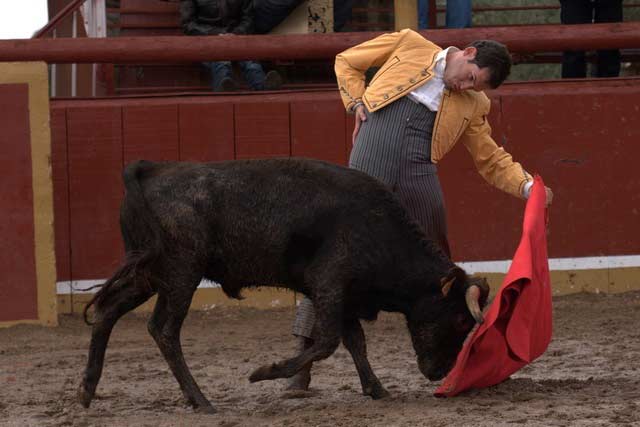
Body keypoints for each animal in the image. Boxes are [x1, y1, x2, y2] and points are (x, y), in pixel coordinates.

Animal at [80, 158, 490, 414]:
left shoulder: (341, 294)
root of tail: (151, 169)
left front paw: (377, 389)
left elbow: (355, 342)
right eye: (459, 320)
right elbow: (327, 342)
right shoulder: (330, 284)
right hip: (182, 272)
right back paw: (201, 400)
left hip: (150, 272)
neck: (378, 227)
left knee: (108, 311)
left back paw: (87, 390)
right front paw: (263, 372)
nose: (439, 372)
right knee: (164, 329)